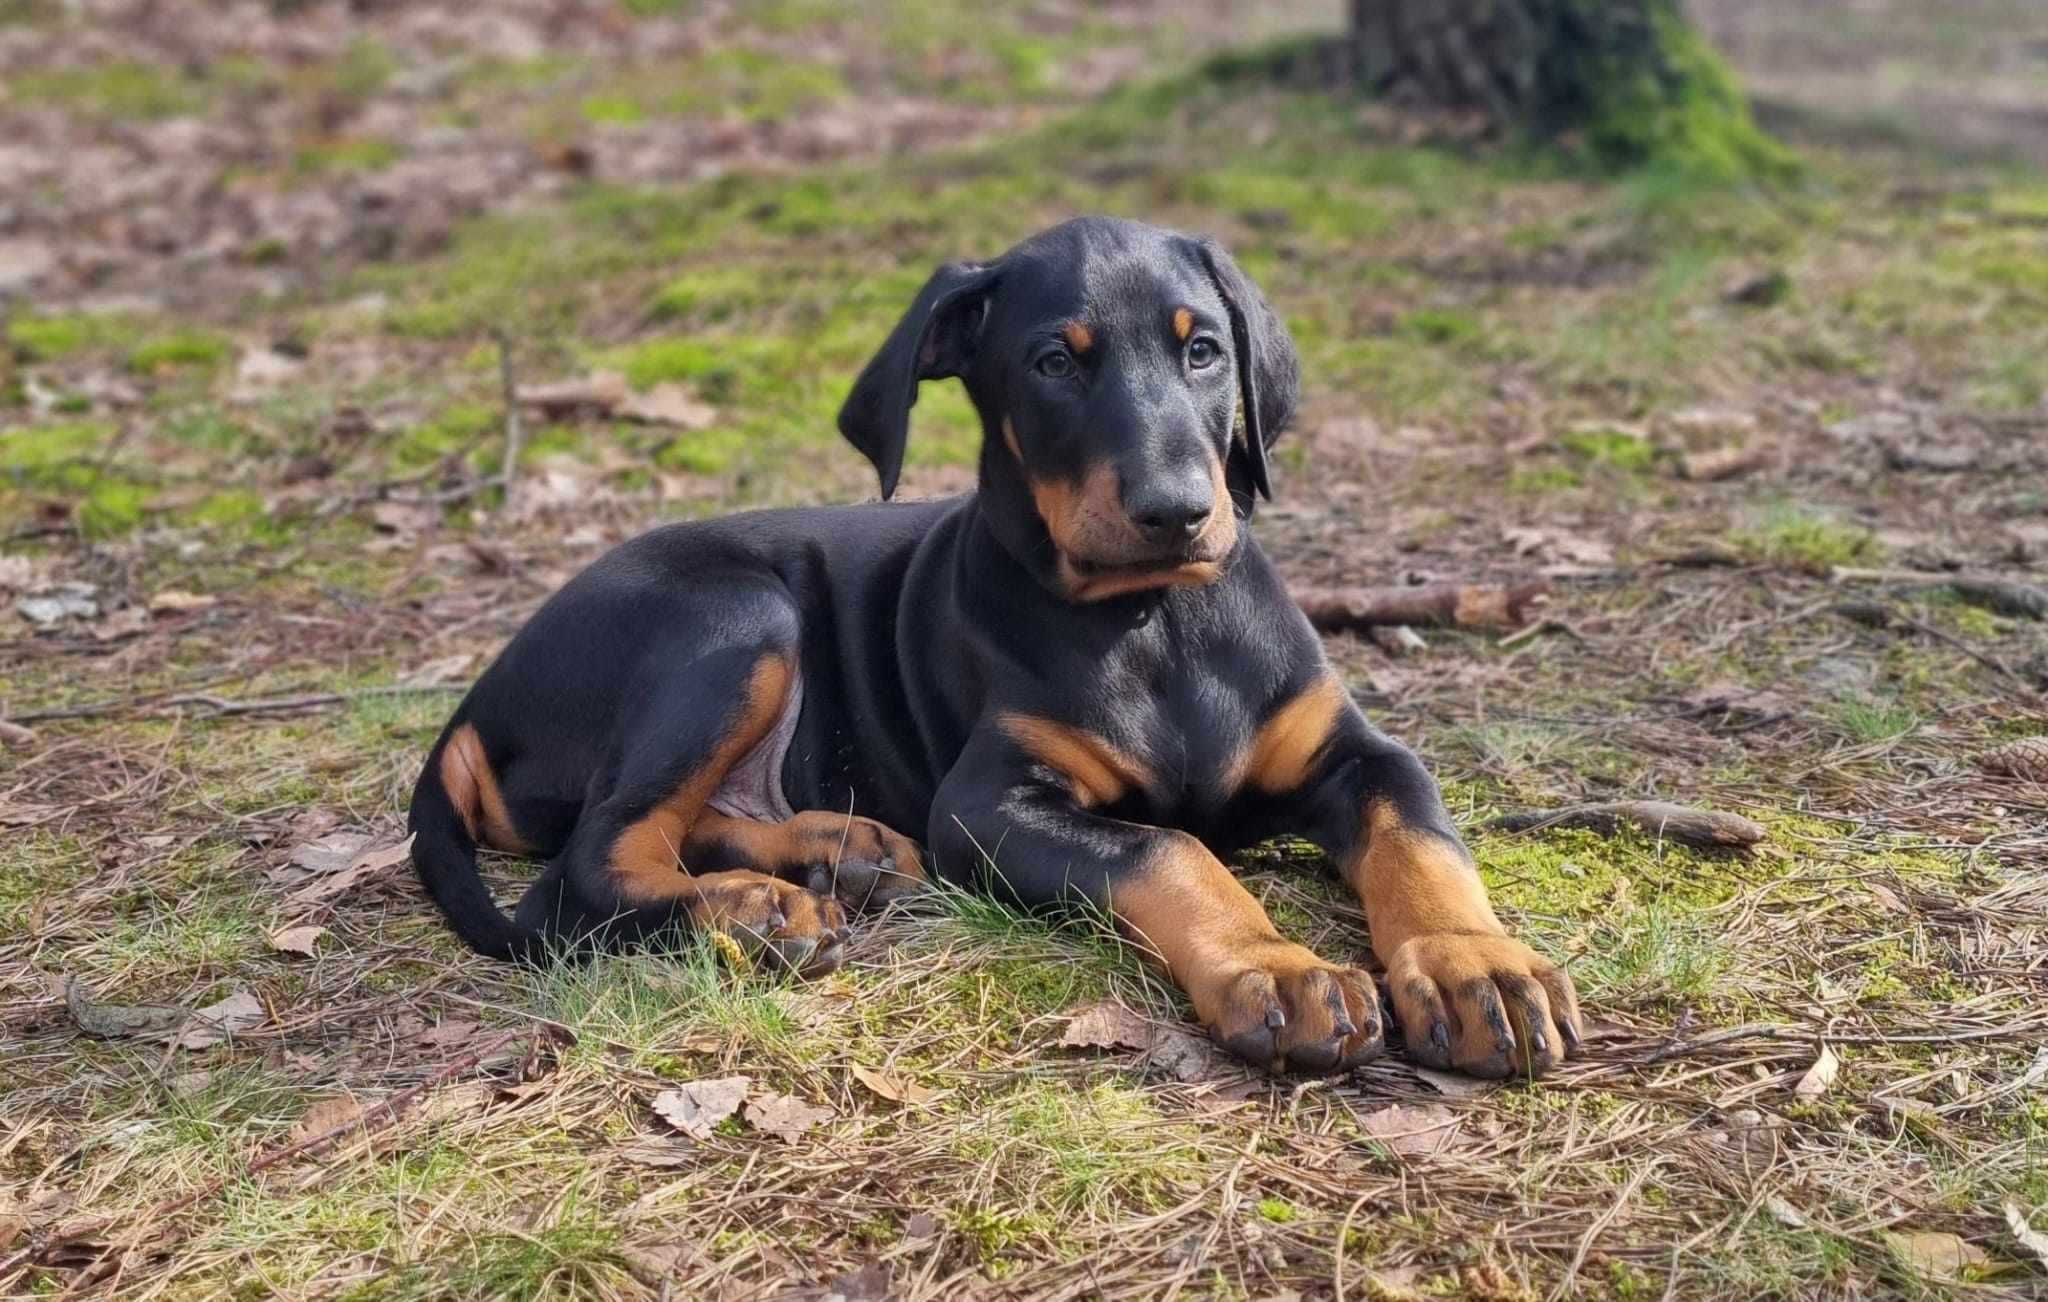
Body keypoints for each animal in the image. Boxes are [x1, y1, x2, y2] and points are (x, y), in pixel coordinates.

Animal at [403, 219, 1581, 1080]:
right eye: (1054, 361)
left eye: (1202, 349)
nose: (1175, 511)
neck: (1153, 621)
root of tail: (472, 705)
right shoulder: (987, 805)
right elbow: (1166, 848)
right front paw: (1275, 968)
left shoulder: (1359, 753)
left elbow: (1419, 841)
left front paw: (1477, 970)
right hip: (736, 616)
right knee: (588, 865)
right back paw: (759, 911)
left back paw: (842, 852)